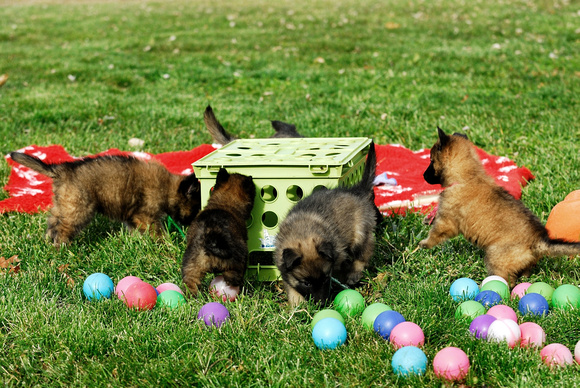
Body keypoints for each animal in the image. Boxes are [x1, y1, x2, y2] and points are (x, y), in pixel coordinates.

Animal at [9, 152, 202, 246]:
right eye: (196, 208)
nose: (192, 225)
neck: (166, 188)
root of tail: (63, 170)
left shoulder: (133, 217)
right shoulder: (146, 216)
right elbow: (158, 231)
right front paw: (166, 244)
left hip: (64, 204)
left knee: (53, 223)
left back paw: (48, 242)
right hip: (79, 208)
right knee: (63, 229)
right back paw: (63, 248)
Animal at [180, 168, 255, 296]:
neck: (225, 202)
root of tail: (214, 237)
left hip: (191, 265)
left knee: (190, 283)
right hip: (237, 262)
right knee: (233, 277)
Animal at [276, 142, 382, 306]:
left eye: (325, 278)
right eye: (306, 283)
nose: (322, 303)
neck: (303, 232)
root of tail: (357, 191)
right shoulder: (285, 269)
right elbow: (292, 289)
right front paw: (298, 306)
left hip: (360, 233)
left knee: (364, 253)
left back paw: (353, 274)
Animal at [422, 129, 580, 286]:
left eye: (431, 161)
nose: (423, 176)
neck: (468, 177)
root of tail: (538, 241)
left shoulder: (447, 221)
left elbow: (435, 234)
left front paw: (424, 244)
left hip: (495, 258)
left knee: (507, 281)